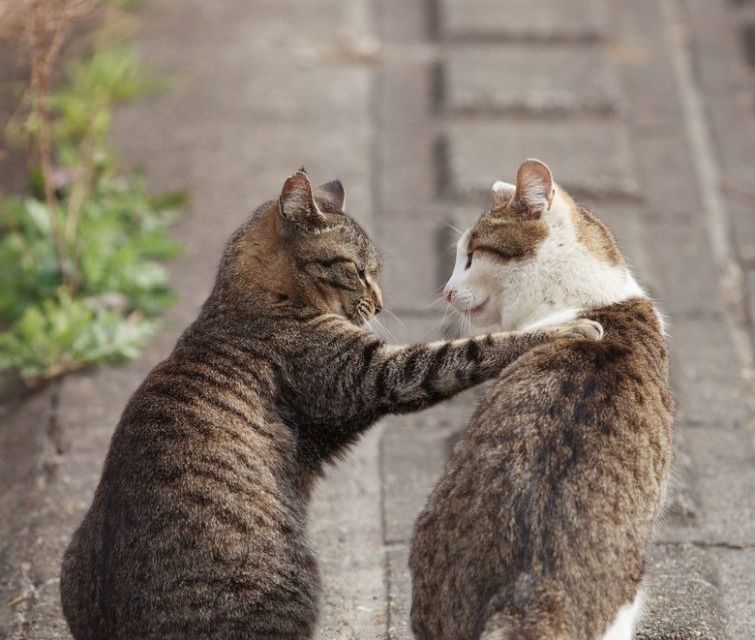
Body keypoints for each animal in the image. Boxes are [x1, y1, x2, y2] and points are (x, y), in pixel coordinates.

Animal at [60, 168, 604, 636]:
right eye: (357, 271)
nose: (381, 303)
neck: (248, 298)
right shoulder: (374, 374)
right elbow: (467, 351)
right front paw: (568, 326)